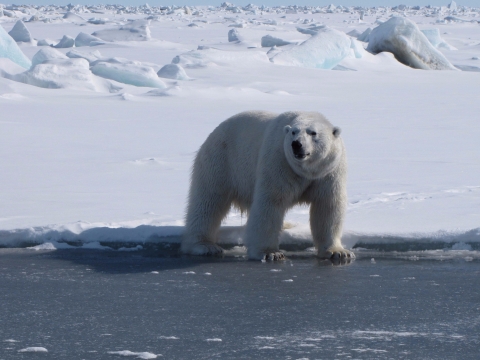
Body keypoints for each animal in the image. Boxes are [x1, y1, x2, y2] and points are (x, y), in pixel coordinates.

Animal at [182, 111, 354, 260]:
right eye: (293, 132)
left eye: (313, 133)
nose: (296, 144)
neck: (307, 171)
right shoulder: (279, 162)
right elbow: (270, 203)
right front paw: (270, 253)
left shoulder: (329, 172)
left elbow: (327, 206)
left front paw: (339, 252)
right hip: (221, 161)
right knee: (208, 202)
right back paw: (204, 245)